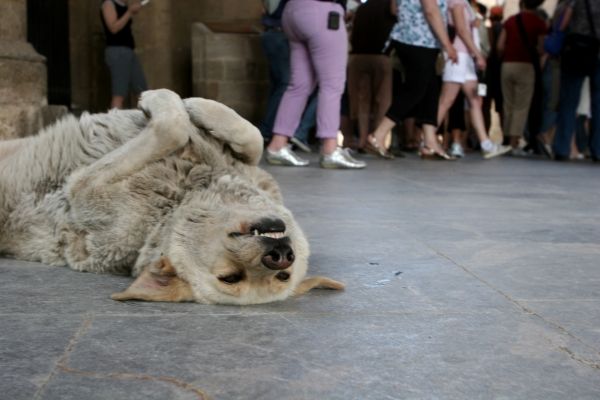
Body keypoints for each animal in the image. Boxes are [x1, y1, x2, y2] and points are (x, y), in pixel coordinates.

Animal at [0, 89, 344, 304]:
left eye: (230, 278)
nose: (280, 255)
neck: (179, 198)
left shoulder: (86, 188)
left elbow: (172, 128)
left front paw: (164, 100)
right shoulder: (253, 172)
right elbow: (253, 138)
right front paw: (196, 105)